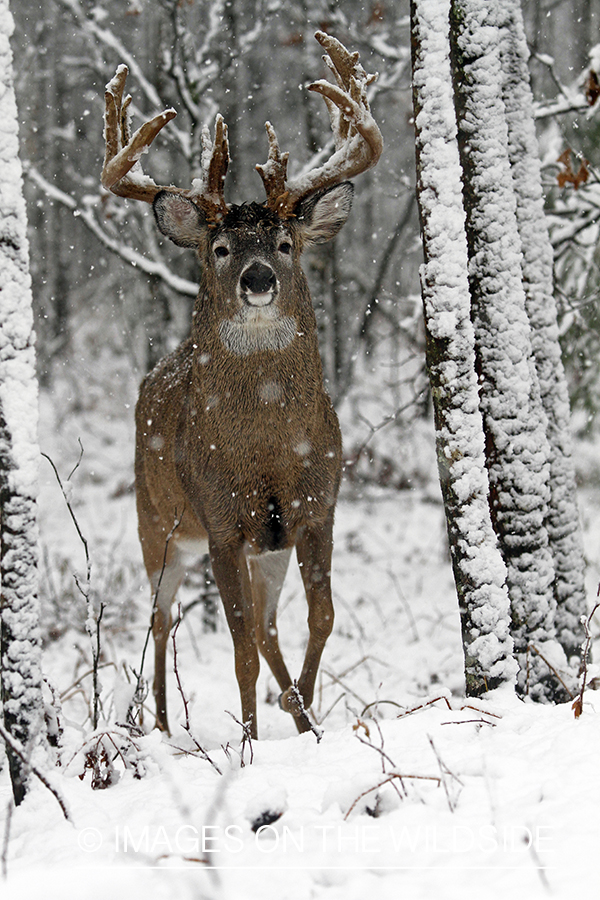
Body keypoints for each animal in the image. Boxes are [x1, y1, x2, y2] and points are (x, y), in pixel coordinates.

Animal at [101, 35, 382, 740]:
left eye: (285, 241)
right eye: (222, 247)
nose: (259, 280)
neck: (270, 451)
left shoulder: (316, 509)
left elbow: (318, 619)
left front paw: (304, 717)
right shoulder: (222, 522)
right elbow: (236, 648)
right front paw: (251, 744)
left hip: (264, 547)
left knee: (268, 623)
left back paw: (298, 712)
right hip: (158, 523)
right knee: (162, 619)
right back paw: (163, 726)